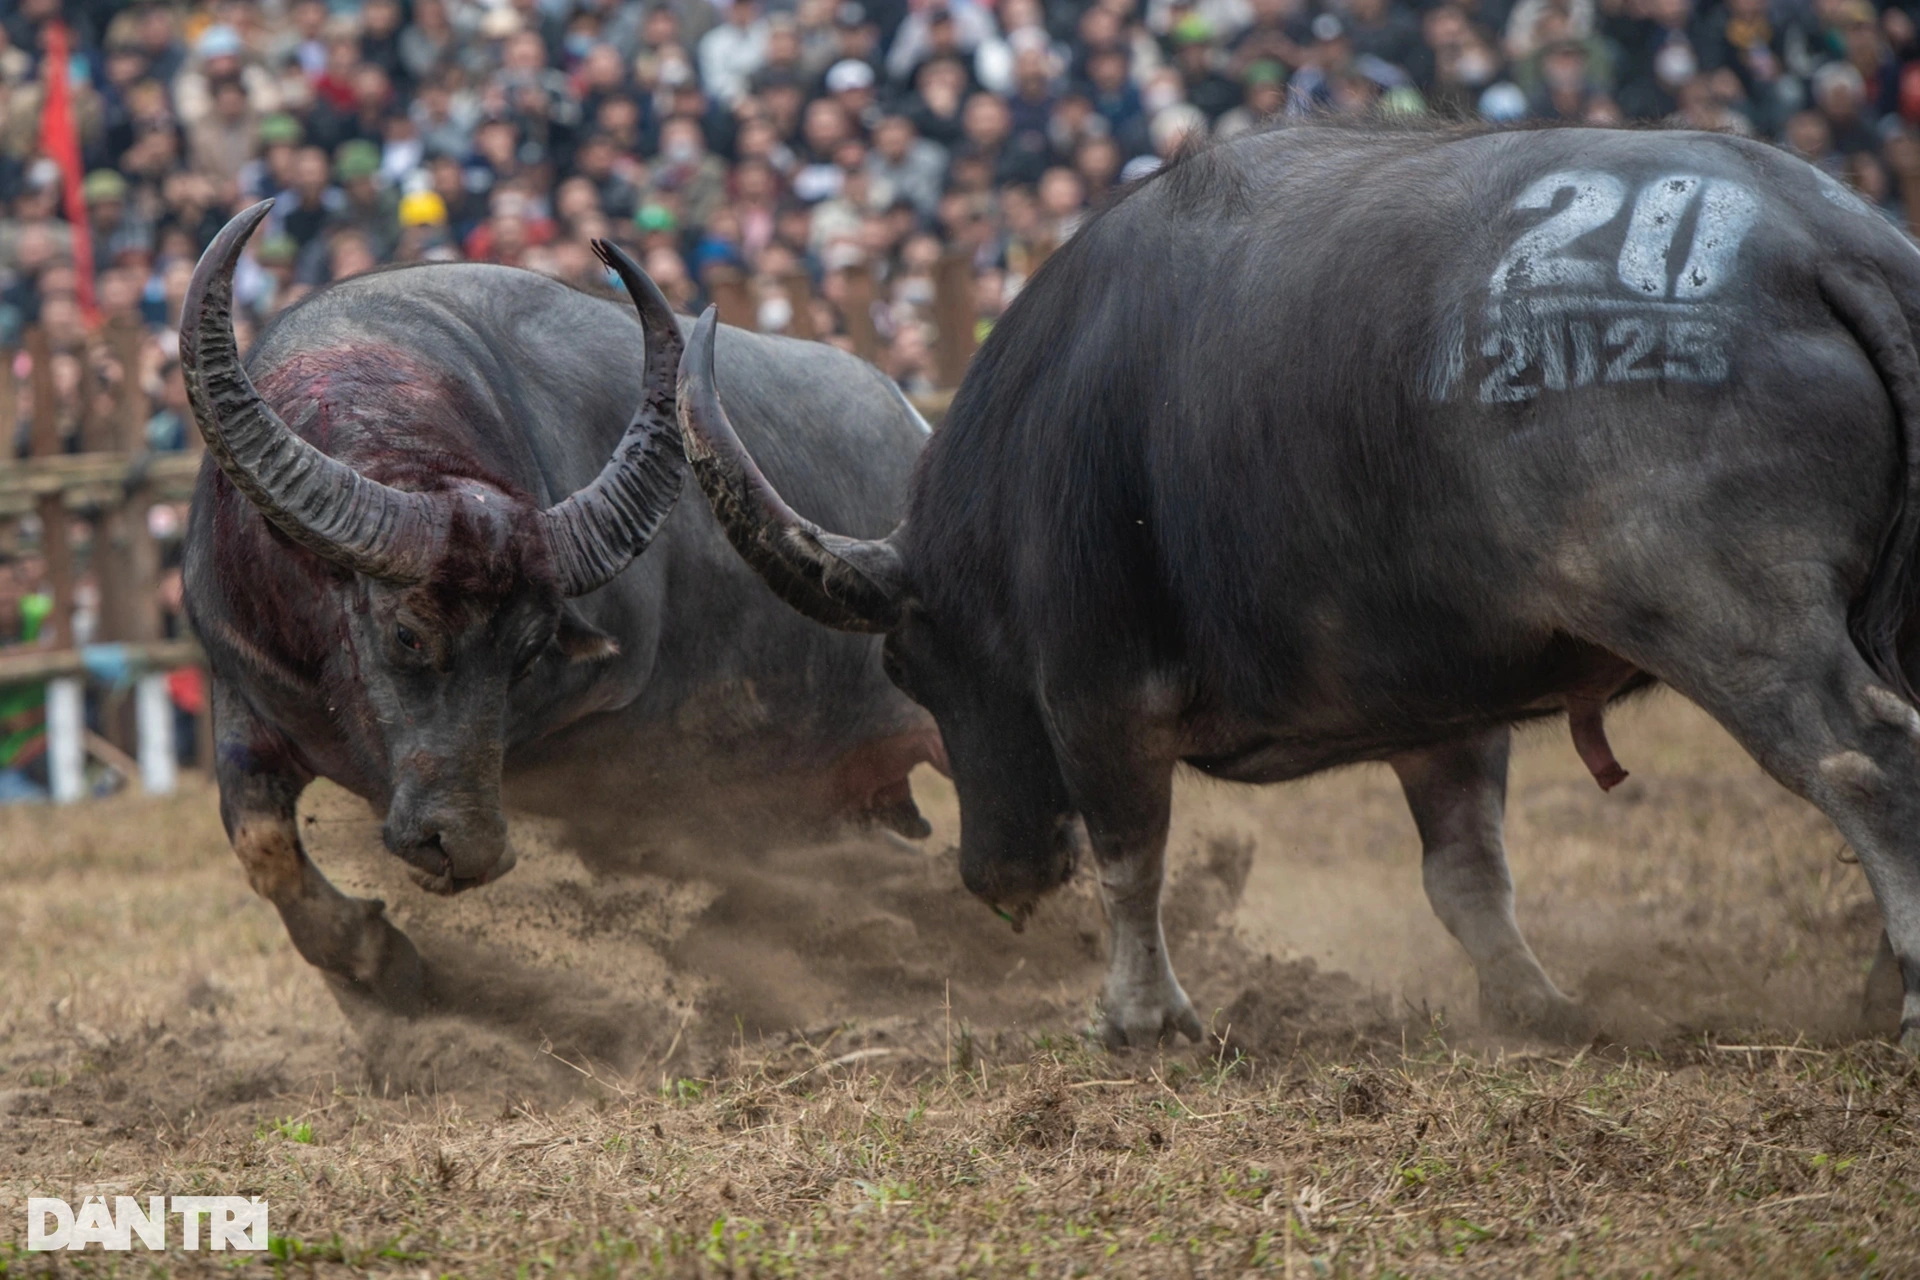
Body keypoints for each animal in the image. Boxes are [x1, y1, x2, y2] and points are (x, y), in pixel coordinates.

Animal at [176, 205, 940, 1013]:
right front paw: (380, 965)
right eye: (407, 634)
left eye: (528, 651)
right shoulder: (245, 692)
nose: (465, 846)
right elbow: (262, 845)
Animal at [683, 124, 1920, 1059]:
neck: (1053, 423)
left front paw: (1141, 1022)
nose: (995, 874)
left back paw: (1904, 999)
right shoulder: (1446, 711)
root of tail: (1833, 243)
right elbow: (1467, 874)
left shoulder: (1095, 692)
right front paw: (1533, 1007)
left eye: (911, 660)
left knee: (1865, 758)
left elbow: (1132, 858)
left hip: (1727, 614)